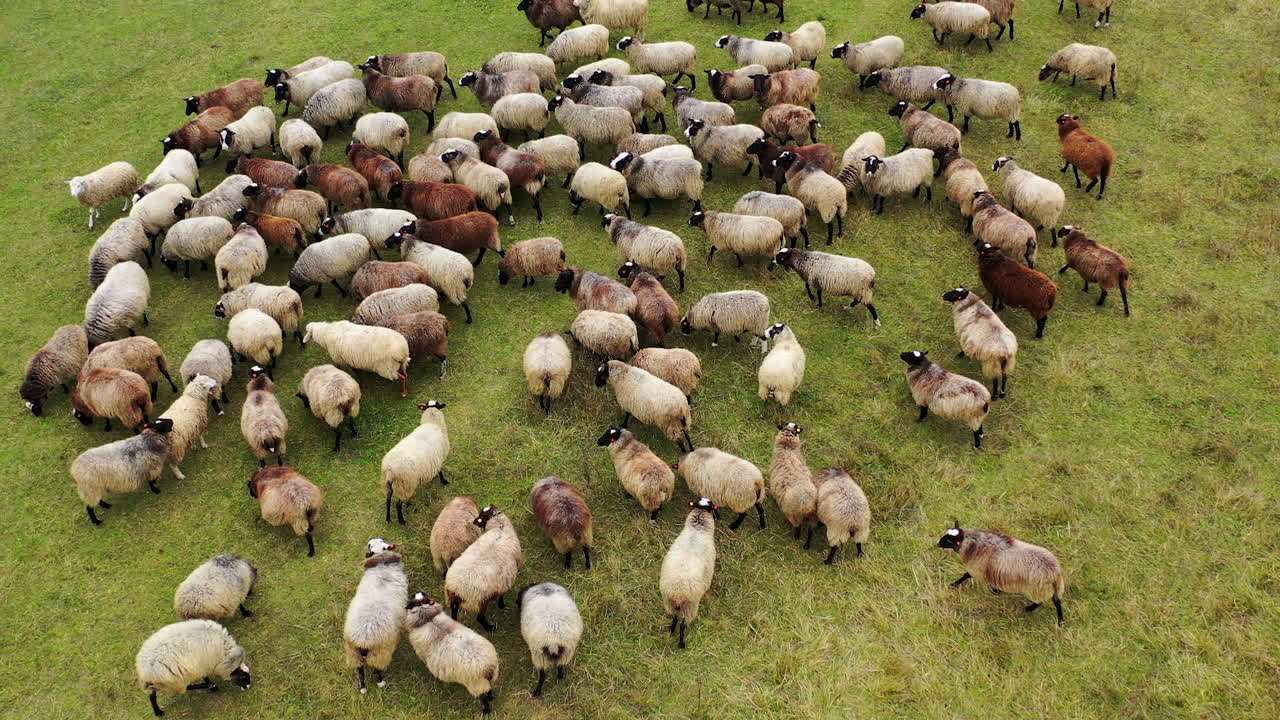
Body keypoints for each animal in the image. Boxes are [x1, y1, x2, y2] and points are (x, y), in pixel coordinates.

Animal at [344, 538, 409, 693]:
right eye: (370, 546)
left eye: (382, 540)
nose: (369, 541)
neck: (382, 567)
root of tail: (363, 641)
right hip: (379, 653)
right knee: (376, 669)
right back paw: (380, 682)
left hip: (353, 653)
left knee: (360, 670)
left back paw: (363, 688)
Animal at [659, 498, 718, 648]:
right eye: (711, 505)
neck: (696, 530)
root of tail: (678, 593)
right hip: (690, 605)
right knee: (683, 624)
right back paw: (681, 643)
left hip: (670, 603)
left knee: (675, 618)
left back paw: (671, 631)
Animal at [937, 523, 1065, 624]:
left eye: (949, 540)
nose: (937, 544)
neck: (974, 544)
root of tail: (1054, 572)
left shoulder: (978, 568)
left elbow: (966, 575)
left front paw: (954, 584)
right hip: (1053, 588)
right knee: (1057, 601)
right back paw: (1060, 621)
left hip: (1036, 589)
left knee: (1041, 602)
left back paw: (1028, 609)